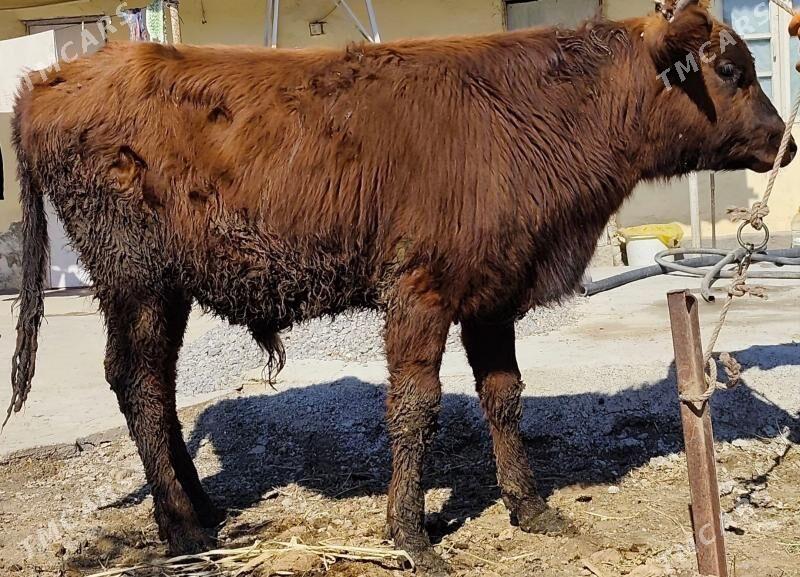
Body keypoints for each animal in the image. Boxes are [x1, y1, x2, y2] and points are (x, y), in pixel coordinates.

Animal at [5, 0, 796, 574]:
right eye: (732, 68)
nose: (785, 141)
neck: (539, 115)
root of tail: (54, 79)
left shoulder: (492, 292)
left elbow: (504, 395)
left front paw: (530, 507)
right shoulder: (420, 289)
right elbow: (415, 407)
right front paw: (411, 535)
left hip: (162, 288)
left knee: (158, 386)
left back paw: (202, 508)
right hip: (134, 278)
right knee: (137, 382)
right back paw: (179, 527)